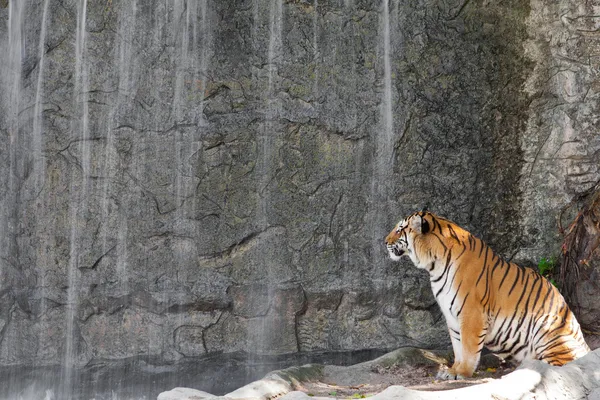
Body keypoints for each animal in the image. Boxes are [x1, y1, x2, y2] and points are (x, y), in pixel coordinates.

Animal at [386, 211, 588, 380]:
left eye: (399, 229)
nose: (384, 241)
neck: (434, 265)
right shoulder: (452, 316)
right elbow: (458, 346)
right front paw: (452, 370)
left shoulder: (471, 313)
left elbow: (468, 347)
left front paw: (462, 372)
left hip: (549, 329)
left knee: (566, 365)